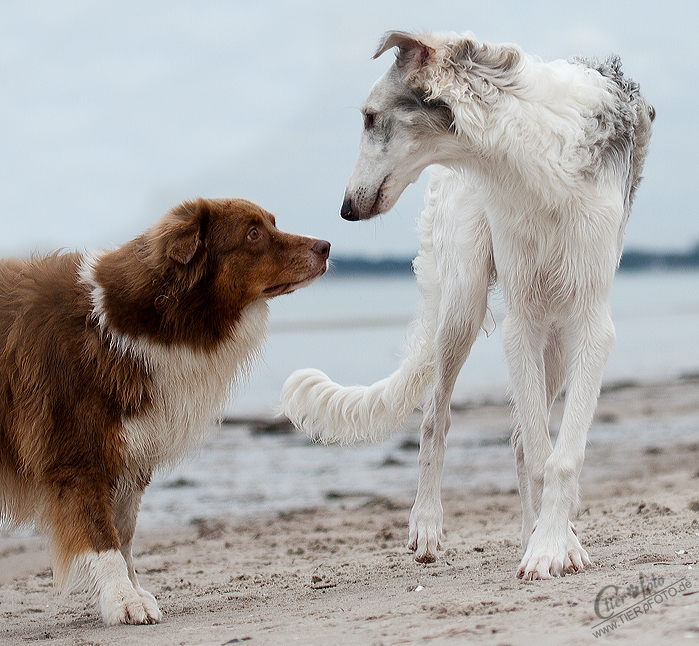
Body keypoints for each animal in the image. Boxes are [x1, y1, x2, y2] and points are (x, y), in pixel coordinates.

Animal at [0, 199, 330, 628]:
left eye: (273, 223)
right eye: (253, 233)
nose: (325, 246)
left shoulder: (132, 452)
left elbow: (124, 535)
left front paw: (134, 591)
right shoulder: (77, 455)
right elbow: (102, 537)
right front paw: (123, 600)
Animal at [282, 30, 652, 584]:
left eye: (369, 117)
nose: (345, 210)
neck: (527, 150)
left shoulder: (590, 322)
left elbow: (561, 456)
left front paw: (550, 545)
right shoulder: (522, 319)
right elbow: (541, 454)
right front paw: (552, 546)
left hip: (557, 335)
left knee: (520, 437)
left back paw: (534, 534)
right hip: (464, 303)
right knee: (436, 419)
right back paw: (428, 525)